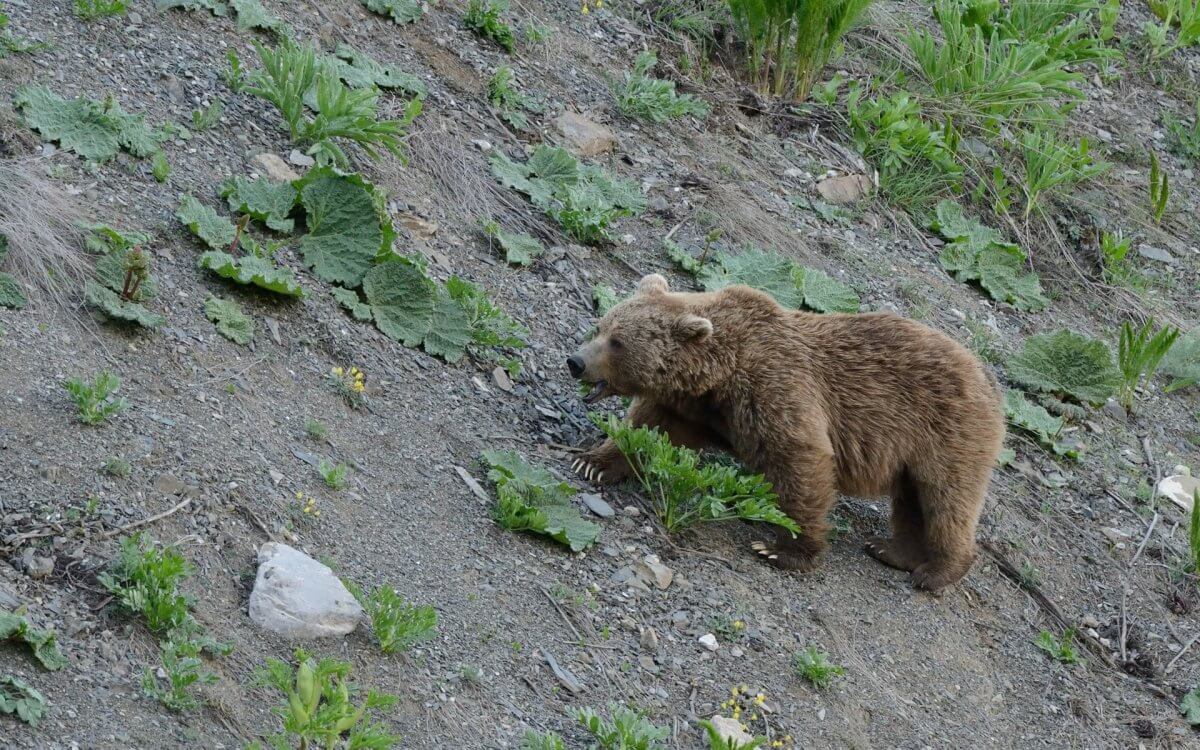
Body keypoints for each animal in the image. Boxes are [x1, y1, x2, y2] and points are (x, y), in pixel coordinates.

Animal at [566, 272, 1008, 588]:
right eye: (601, 326)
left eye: (618, 342)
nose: (575, 361)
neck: (718, 374)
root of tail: (988, 379)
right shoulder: (697, 408)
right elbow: (646, 428)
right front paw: (592, 462)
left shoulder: (774, 387)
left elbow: (800, 461)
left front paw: (782, 549)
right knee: (913, 500)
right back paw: (890, 549)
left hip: (946, 431)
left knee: (945, 499)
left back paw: (935, 572)